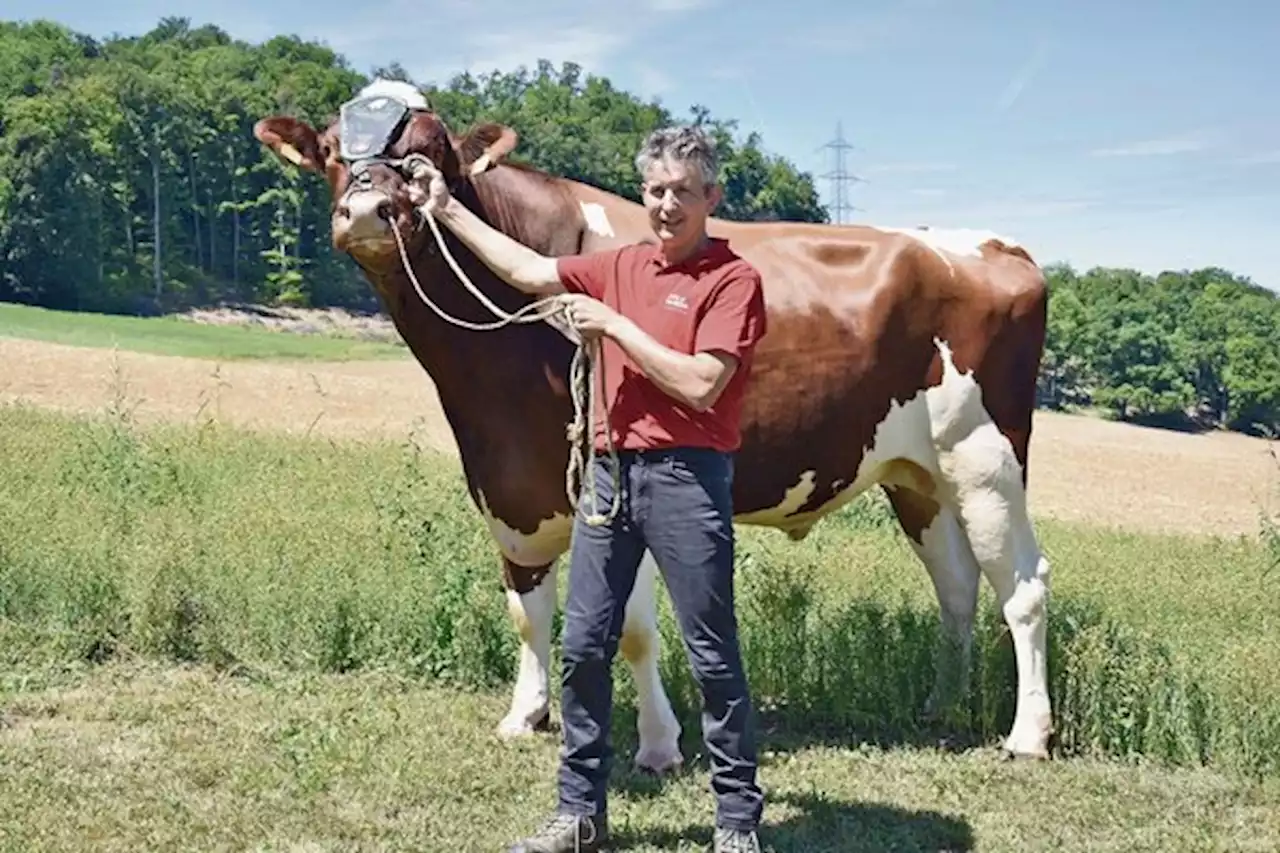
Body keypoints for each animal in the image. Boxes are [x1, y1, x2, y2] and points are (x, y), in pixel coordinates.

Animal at [254, 81, 1054, 763]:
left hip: (985, 455)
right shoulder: (507, 483)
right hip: (916, 474)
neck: (486, 384)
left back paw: (1028, 734)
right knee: (957, 585)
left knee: (1022, 585)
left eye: (429, 153)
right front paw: (526, 714)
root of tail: (996, 244)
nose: (367, 213)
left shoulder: (609, 491)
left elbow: (635, 631)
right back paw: (941, 707)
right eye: (333, 150)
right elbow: (527, 609)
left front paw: (659, 743)